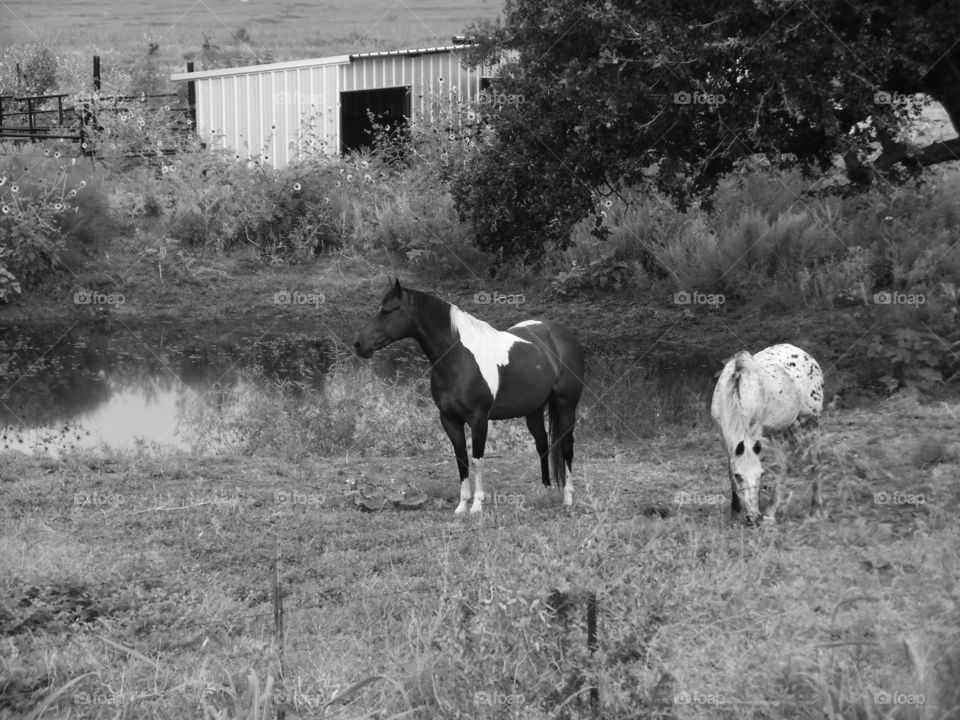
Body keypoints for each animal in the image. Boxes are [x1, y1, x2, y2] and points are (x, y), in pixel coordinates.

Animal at [353, 279, 585, 515]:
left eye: (386, 311)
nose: (359, 344)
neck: (459, 358)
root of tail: (560, 334)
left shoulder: (479, 419)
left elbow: (477, 460)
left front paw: (477, 506)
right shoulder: (449, 419)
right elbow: (461, 459)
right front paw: (462, 505)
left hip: (565, 406)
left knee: (567, 446)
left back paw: (568, 498)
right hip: (534, 410)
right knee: (542, 444)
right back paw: (545, 490)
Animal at [710, 343, 824, 525]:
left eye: (761, 475)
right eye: (738, 476)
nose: (753, 518)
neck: (737, 389)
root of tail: (807, 356)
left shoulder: (755, 433)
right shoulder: (724, 437)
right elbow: (729, 471)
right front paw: (734, 513)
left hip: (810, 421)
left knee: (816, 460)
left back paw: (814, 510)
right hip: (780, 431)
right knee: (785, 464)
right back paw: (773, 510)